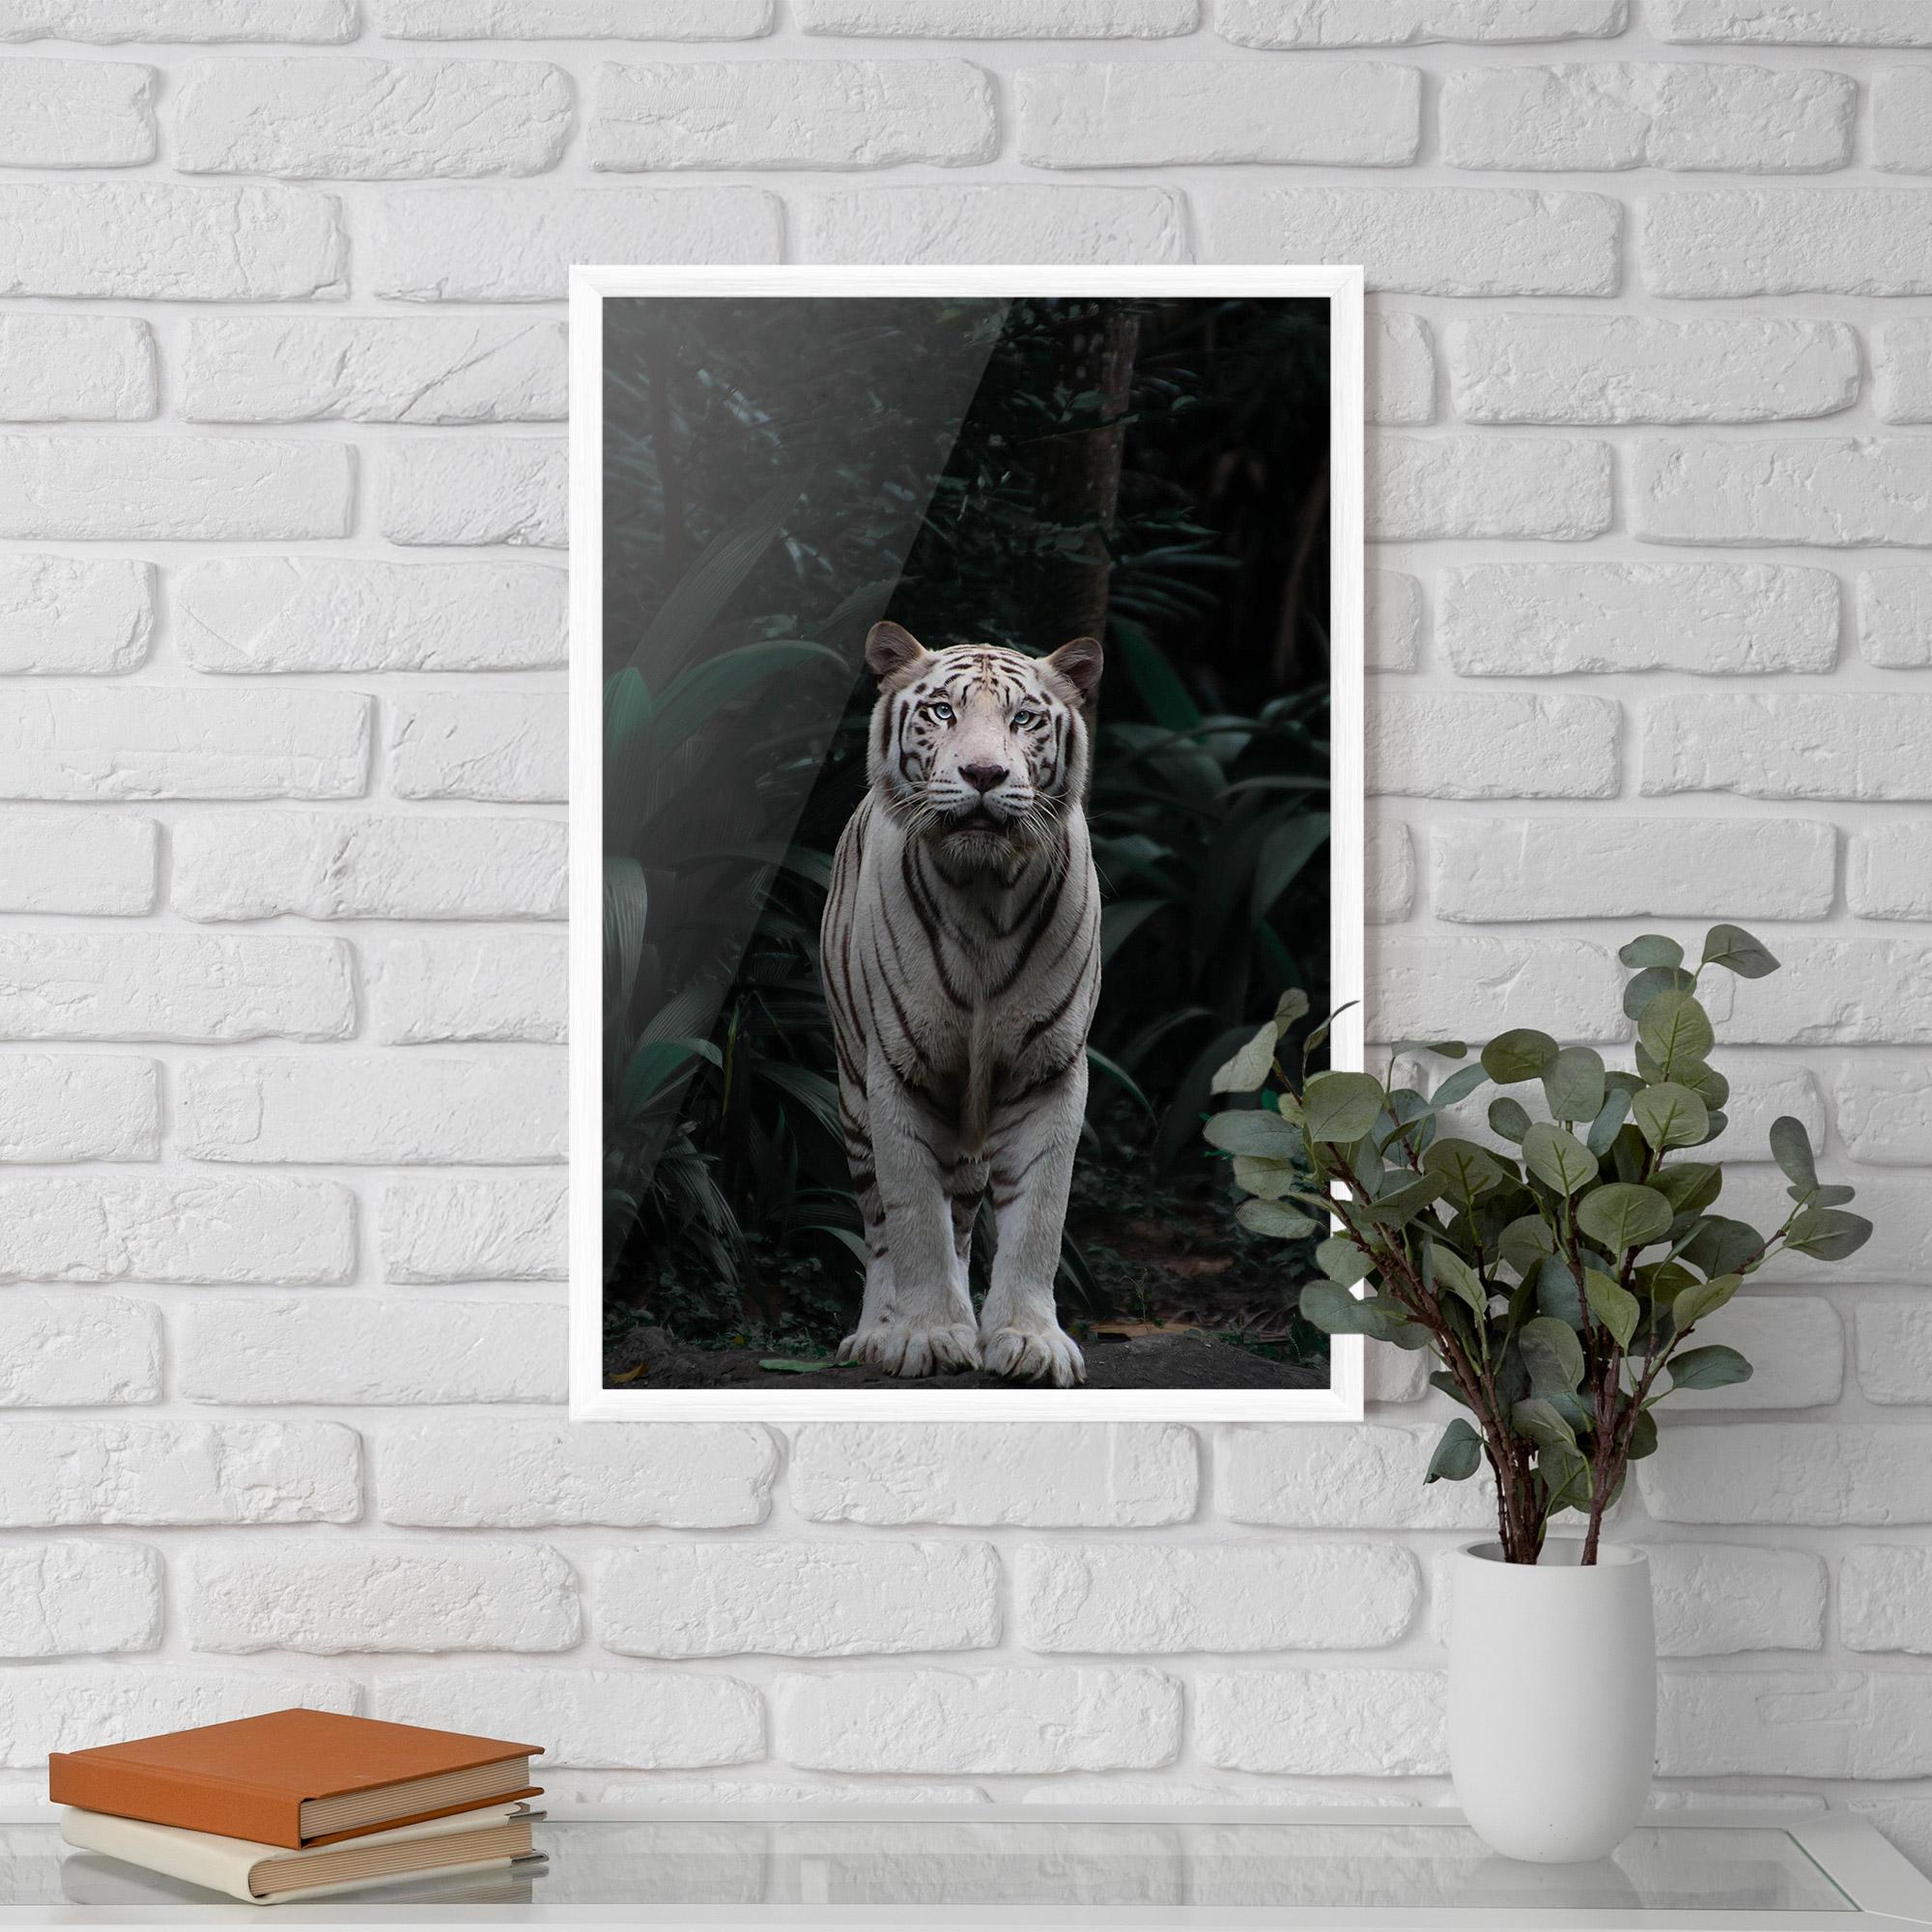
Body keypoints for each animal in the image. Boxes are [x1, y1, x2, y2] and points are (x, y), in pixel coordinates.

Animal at [819, 620, 1104, 1387]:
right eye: (943, 711)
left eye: (1024, 718)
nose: (983, 775)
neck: (983, 896)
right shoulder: (898, 1071)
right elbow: (915, 1216)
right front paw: (928, 1334)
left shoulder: (1049, 1071)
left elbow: (1039, 1217)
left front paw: (1029, 1340)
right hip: (852, 1095)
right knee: (880, 1226)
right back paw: (876, 1334)